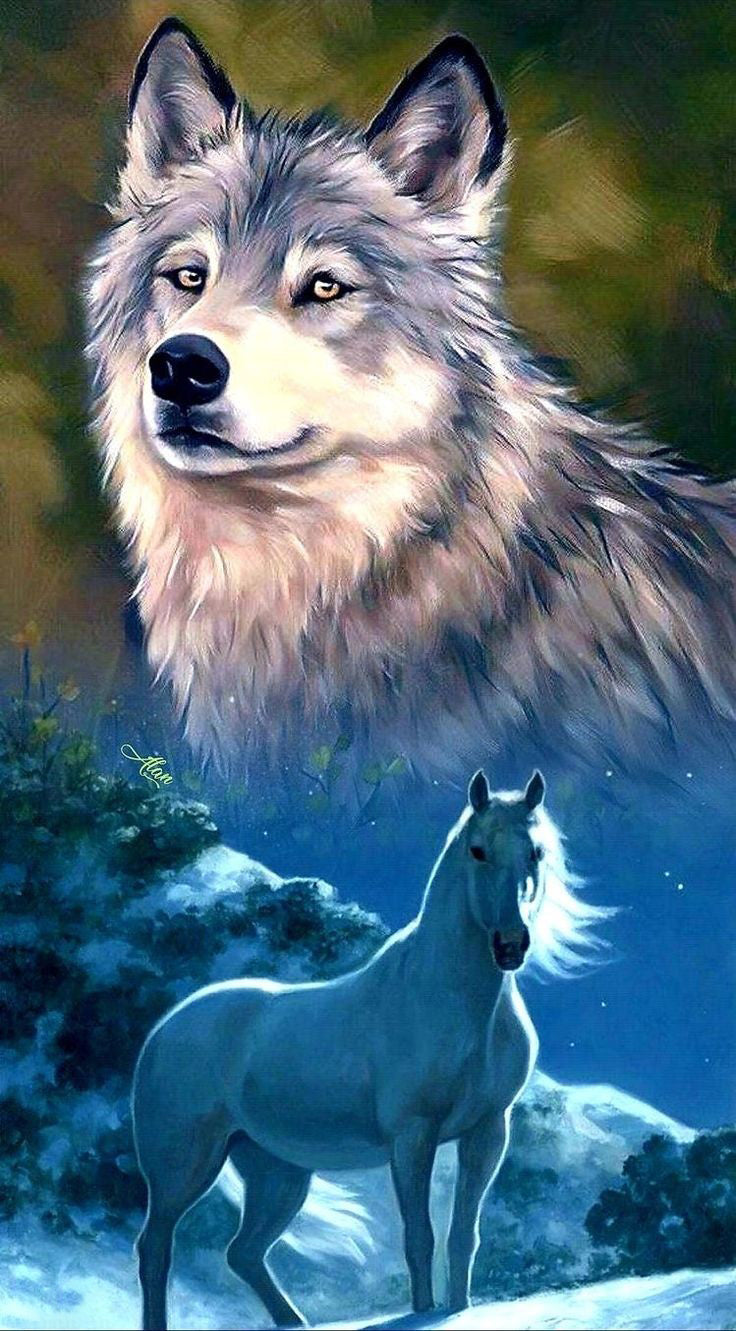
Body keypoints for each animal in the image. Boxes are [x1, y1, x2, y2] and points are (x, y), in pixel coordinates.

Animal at [132, 768, 608, 1328]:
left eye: (535, 852)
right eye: (477, 851)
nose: (511, 945)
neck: (456, 1005)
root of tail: (164, 1029)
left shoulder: (487, 1132)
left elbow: (463, 1236)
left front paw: (459, 1309)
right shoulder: (413, 1137)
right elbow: (419, 1238)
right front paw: (424, 1313)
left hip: (277, 1172)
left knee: (244, 1252)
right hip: (182, 1167)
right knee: (155, 1248)